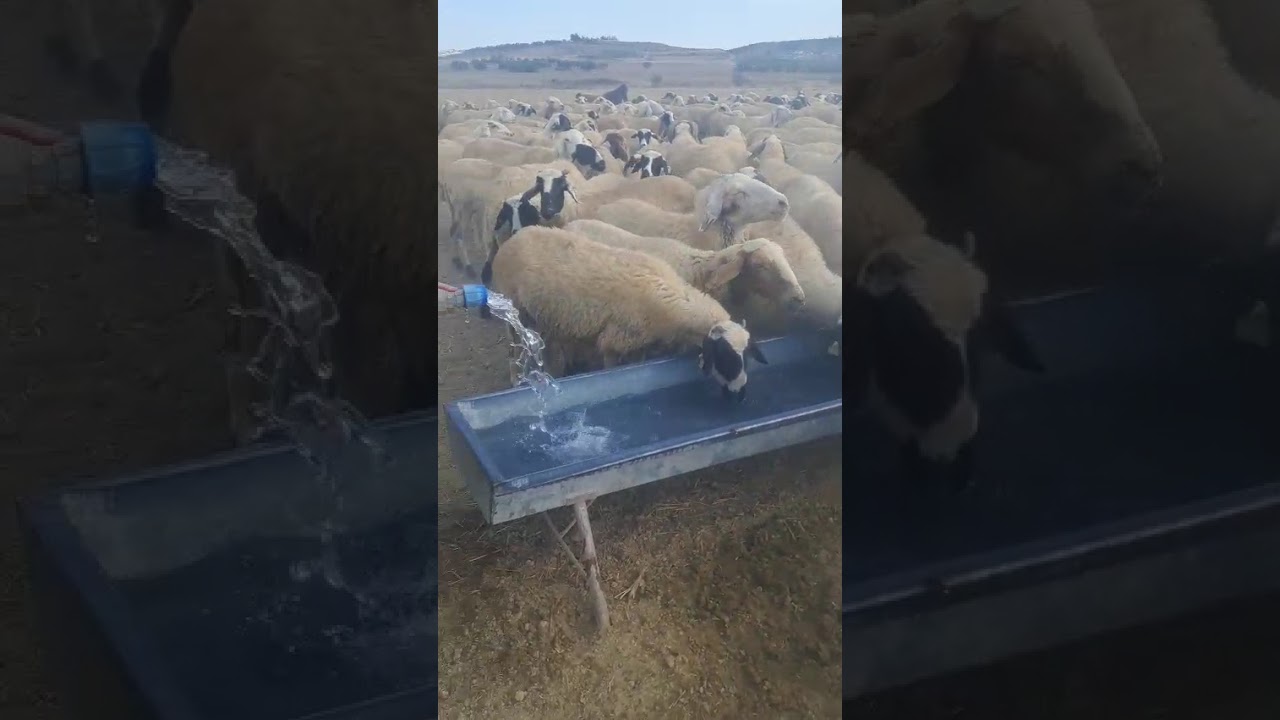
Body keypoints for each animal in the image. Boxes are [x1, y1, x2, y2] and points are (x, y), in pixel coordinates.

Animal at [487, 226, 769, 398]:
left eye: (746, 357)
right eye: (725, 356)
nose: (739, 394)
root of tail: (513, 238)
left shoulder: (640, 343)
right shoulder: (615, 341)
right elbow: (612, 369)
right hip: (513, 311)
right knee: (513, 349)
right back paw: (517, 379)